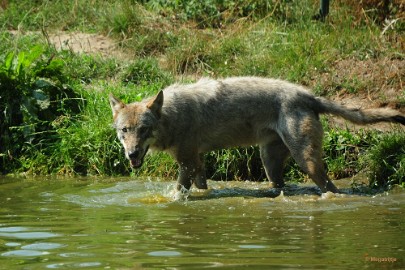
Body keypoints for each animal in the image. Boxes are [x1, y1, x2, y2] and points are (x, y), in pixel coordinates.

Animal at [108, 76, 404, 194]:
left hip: (306, 161)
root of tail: (308, 95)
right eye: (125, 131)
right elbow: (202, 188)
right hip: (270, 163)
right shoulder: (197, 163)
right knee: (280, 185)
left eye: (144, 130)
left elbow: (177, 193)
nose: (132, 154)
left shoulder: (188, 163)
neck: (171, 116)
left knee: (331, 188)